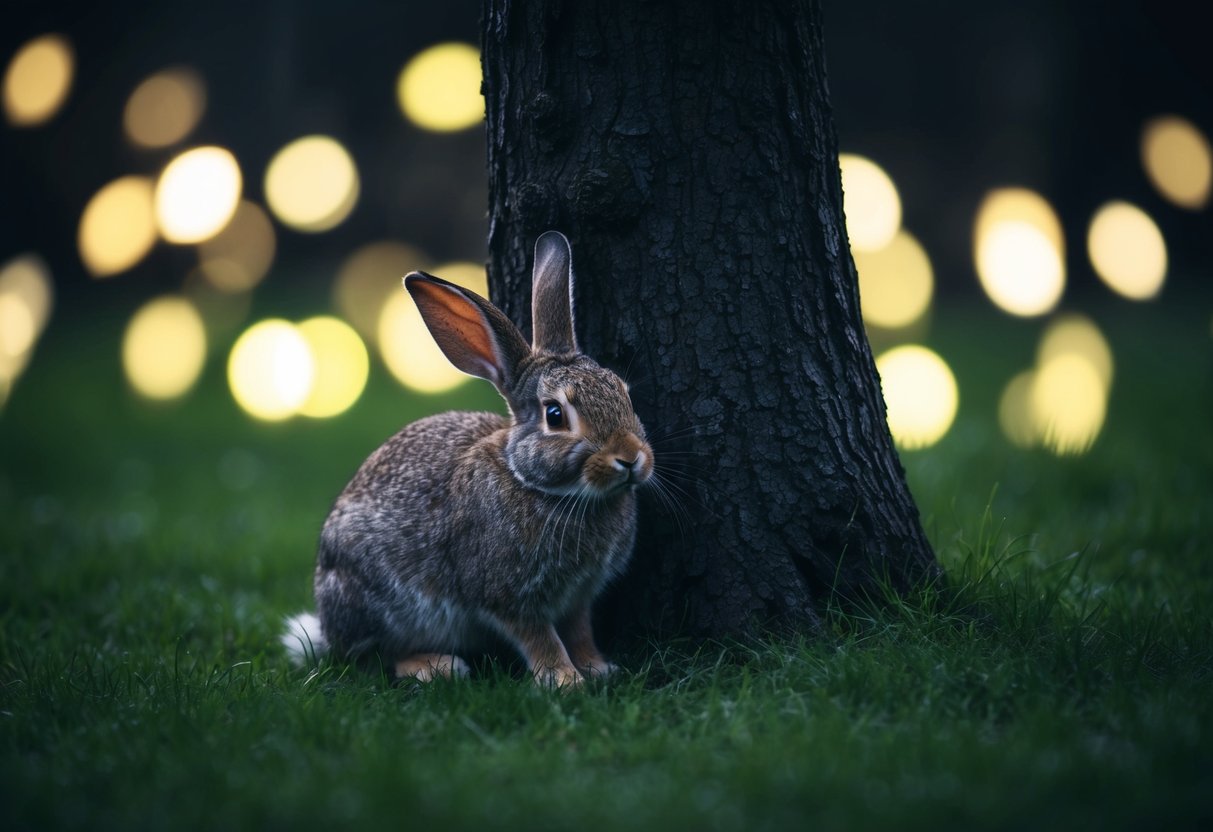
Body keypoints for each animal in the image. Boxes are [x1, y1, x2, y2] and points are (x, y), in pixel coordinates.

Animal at [282, 231, 653, 688]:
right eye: (555, 415)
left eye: (623, 392)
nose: (631, 459)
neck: (538, 485)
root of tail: (326, 627)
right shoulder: (506, 595)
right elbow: (539, 638)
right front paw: (563, 680)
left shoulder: (578, 597)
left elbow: (579, 630)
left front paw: (598, 668)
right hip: (380, 604)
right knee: (374, 657)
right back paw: (436, 667)